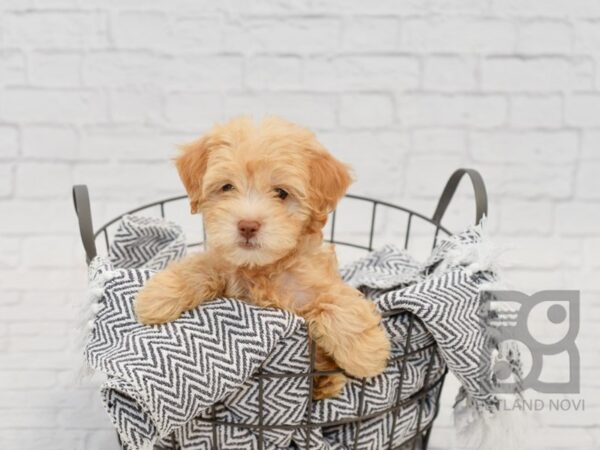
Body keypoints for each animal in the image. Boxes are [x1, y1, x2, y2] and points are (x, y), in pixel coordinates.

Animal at [134, 118, 392, 400]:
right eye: (227, 187)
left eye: (281, 193)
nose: (247, 225)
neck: (259, 267)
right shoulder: (223, 265)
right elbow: (198, 266)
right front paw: (157, 296)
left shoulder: (315, 286)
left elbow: (341, 305)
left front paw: (367, 354)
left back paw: (326, 381)